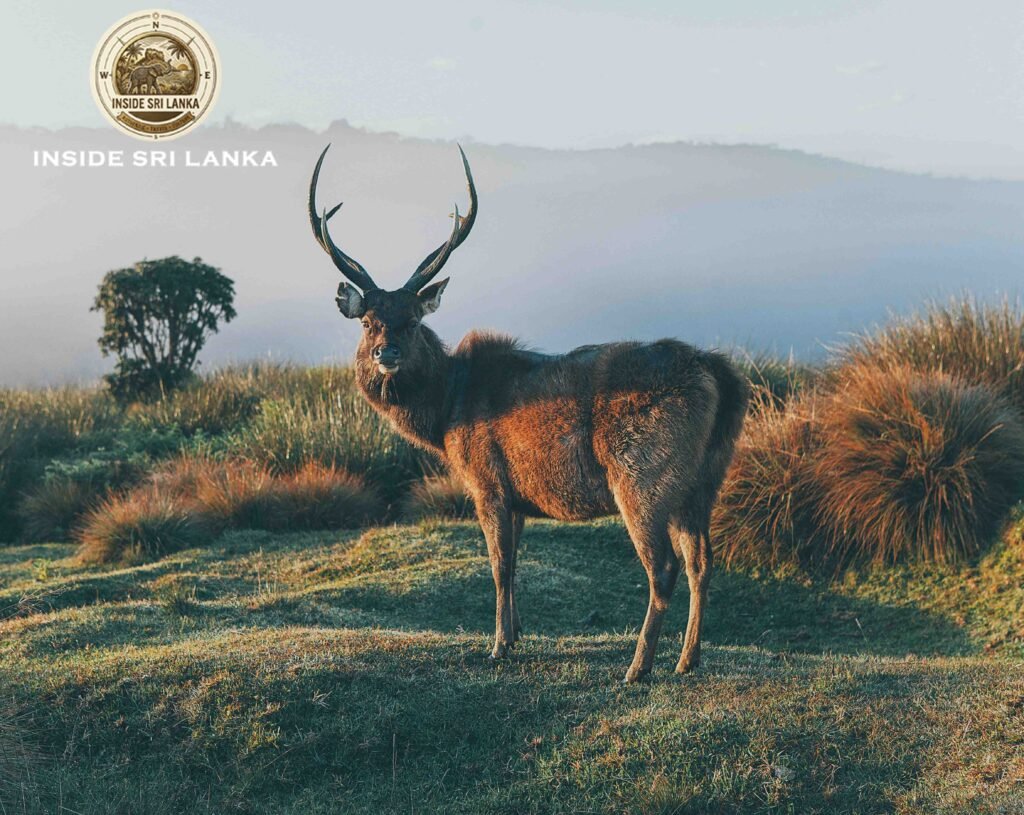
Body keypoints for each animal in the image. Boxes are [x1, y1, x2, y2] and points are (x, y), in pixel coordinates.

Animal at [308, 144, 749, 683]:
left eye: (412, 320)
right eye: (368, 321)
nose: (385, 353)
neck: (446, 414)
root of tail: (722, 377)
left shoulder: (486, 479)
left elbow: (499, 564)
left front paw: (498, 645)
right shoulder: (518, 495)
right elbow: (515, 563)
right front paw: (517, 633)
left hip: (643, 474)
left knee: (663, 566)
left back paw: (638, 666)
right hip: (705, 479)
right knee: (702, 561)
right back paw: (689, 658)